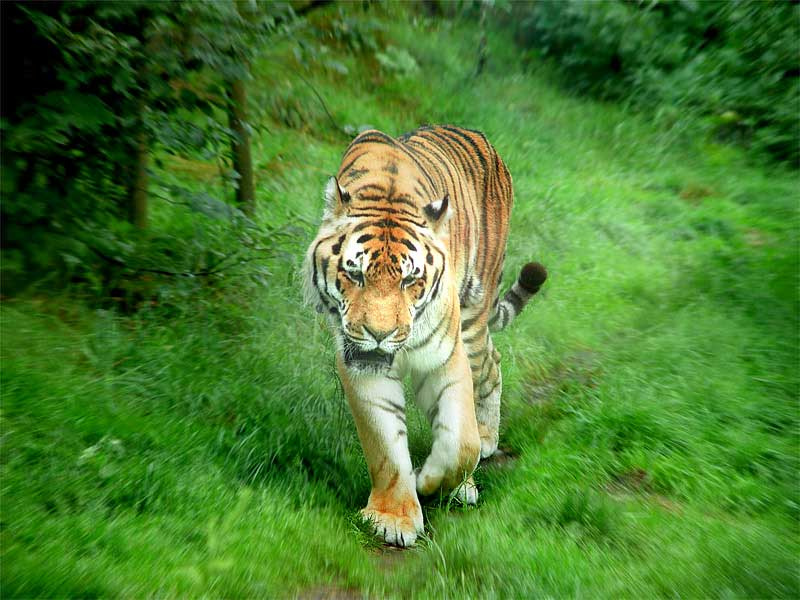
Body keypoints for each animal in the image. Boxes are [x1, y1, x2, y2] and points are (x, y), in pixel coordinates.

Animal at [304, 125, 547, 547]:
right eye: (355, 274)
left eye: (409, 280)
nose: (379, 334)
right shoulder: (362, 366)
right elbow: (384, 444)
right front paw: (393, 518)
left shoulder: (444, 355)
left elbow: (459, 442)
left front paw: (431, 480)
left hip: (473, 315)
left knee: (490, 366)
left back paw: (486, 443)